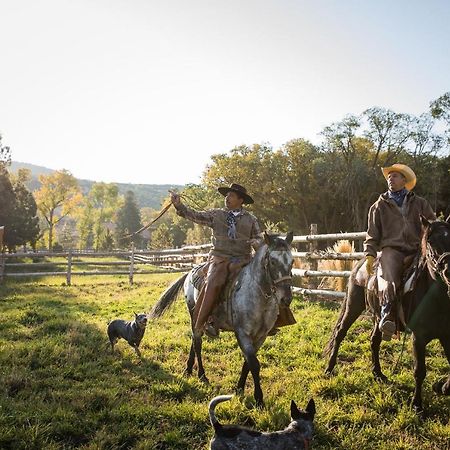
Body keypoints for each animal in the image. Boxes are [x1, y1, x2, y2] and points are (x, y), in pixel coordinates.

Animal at [149, 232, 294, 408]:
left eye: (292, 261)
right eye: (272, 261)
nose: (286, 299)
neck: (258, 296)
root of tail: (190, 271)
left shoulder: (261, 336)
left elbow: (247, 363)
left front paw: (239, 389)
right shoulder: (242, 334)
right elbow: (254, 364)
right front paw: (259, 399)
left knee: (194, 339)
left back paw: (189, 369)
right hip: (194, 312)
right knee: (197, 342)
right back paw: (202, 375)